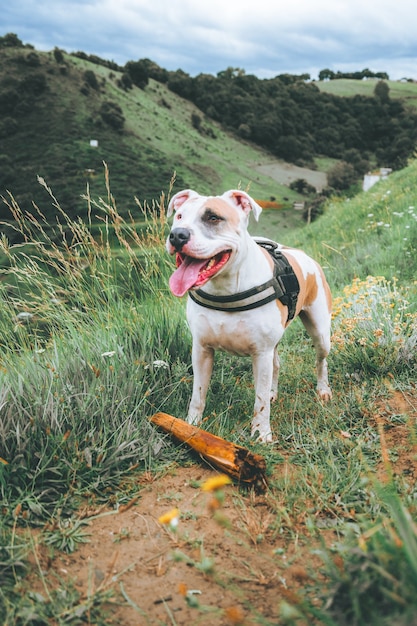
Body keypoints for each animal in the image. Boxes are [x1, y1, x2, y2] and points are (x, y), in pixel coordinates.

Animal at [166, 188, 332, 442]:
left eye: (213, 217)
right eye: (179, 216)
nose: (177, 235)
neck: (225, 287)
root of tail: (301, 254)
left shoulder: (260, 353)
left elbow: (260, 401)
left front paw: (261, 434)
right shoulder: (202, 350)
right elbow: (198, 394)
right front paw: (191, 425)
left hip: (321, 333)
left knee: (321, 361)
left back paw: (323, 390)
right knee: (277, 365)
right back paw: (275, 391)